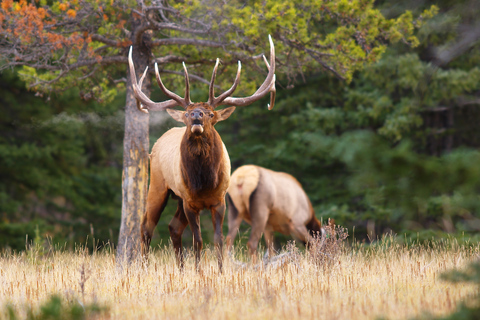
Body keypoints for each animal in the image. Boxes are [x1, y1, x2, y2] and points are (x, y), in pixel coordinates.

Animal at [127, 36, 276, 272]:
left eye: (210, 113)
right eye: (187, 113)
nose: (197, 115)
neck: (204, 182)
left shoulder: (220, 200)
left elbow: (218, 239)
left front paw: (220, 271)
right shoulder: (190, 202)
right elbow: (198, 240)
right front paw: (198, 272)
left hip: (177, 197)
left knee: (173, 227)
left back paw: (180, 269)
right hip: (158, 186)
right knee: (146, 226)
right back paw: (144, 268)